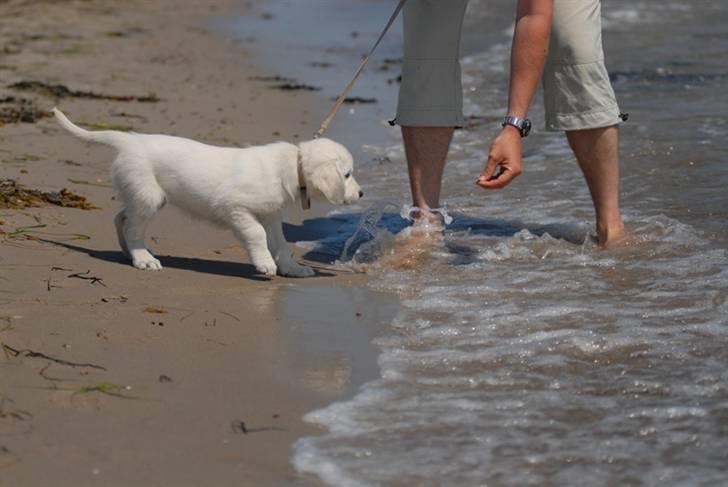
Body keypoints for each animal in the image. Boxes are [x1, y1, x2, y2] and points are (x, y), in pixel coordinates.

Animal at [52, 110, 362, 278]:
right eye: (347, 174)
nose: (360, 194)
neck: (291, 166)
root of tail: (130, 140)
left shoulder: (271, 215)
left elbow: (280, 243)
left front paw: (291, 268)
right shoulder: (236, 208)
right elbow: (257, 235)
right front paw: (264, 264)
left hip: (144, 195)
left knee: (122, 218)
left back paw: (130, 252)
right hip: (149, 197)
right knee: (131, 226)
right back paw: (142, 258)